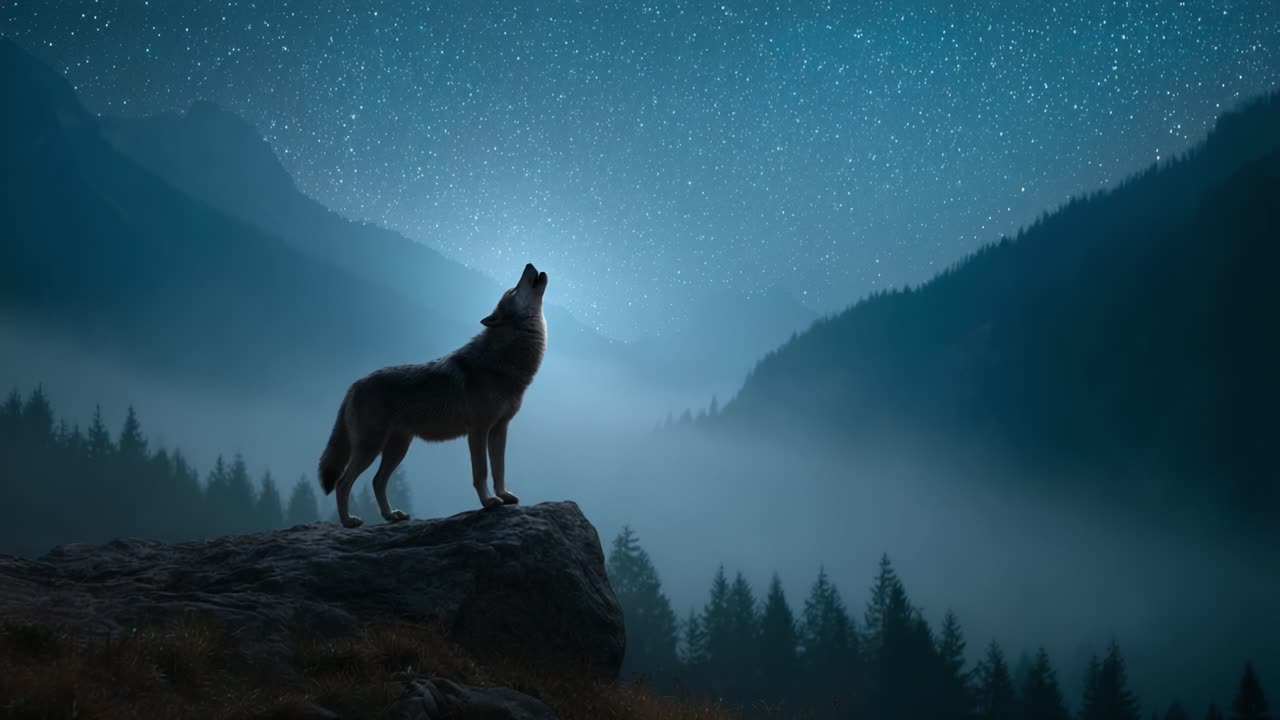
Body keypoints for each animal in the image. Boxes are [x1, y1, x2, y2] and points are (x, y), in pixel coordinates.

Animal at [317, 263, 549, 528]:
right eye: (513, 290)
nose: (529, 265)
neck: (503, 360)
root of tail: (353, 385)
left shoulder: (500, 429)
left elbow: (499, 469)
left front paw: (503, 496)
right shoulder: (478, 430)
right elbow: (481, 471)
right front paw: (489, 501)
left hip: (397, 448)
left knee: (377, 481)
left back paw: (392, 515)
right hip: (370, 447)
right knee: (343, 483)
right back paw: (348, 521)